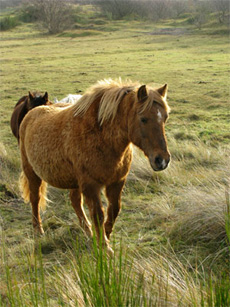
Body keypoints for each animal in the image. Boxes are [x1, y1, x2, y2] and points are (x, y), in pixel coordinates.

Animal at [19, 79, 171, 253]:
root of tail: (32, 113)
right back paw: (38, 231)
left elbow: (113, 210)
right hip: (32, 173)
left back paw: (88, 232)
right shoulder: (90, 185)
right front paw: (105, 247)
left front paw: (104, 237)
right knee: (35, 199)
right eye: (144, 119)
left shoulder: (116, 182)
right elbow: (98, 214)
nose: (162, 160)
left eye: (165, 118)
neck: (101, 135)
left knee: (75, 201)